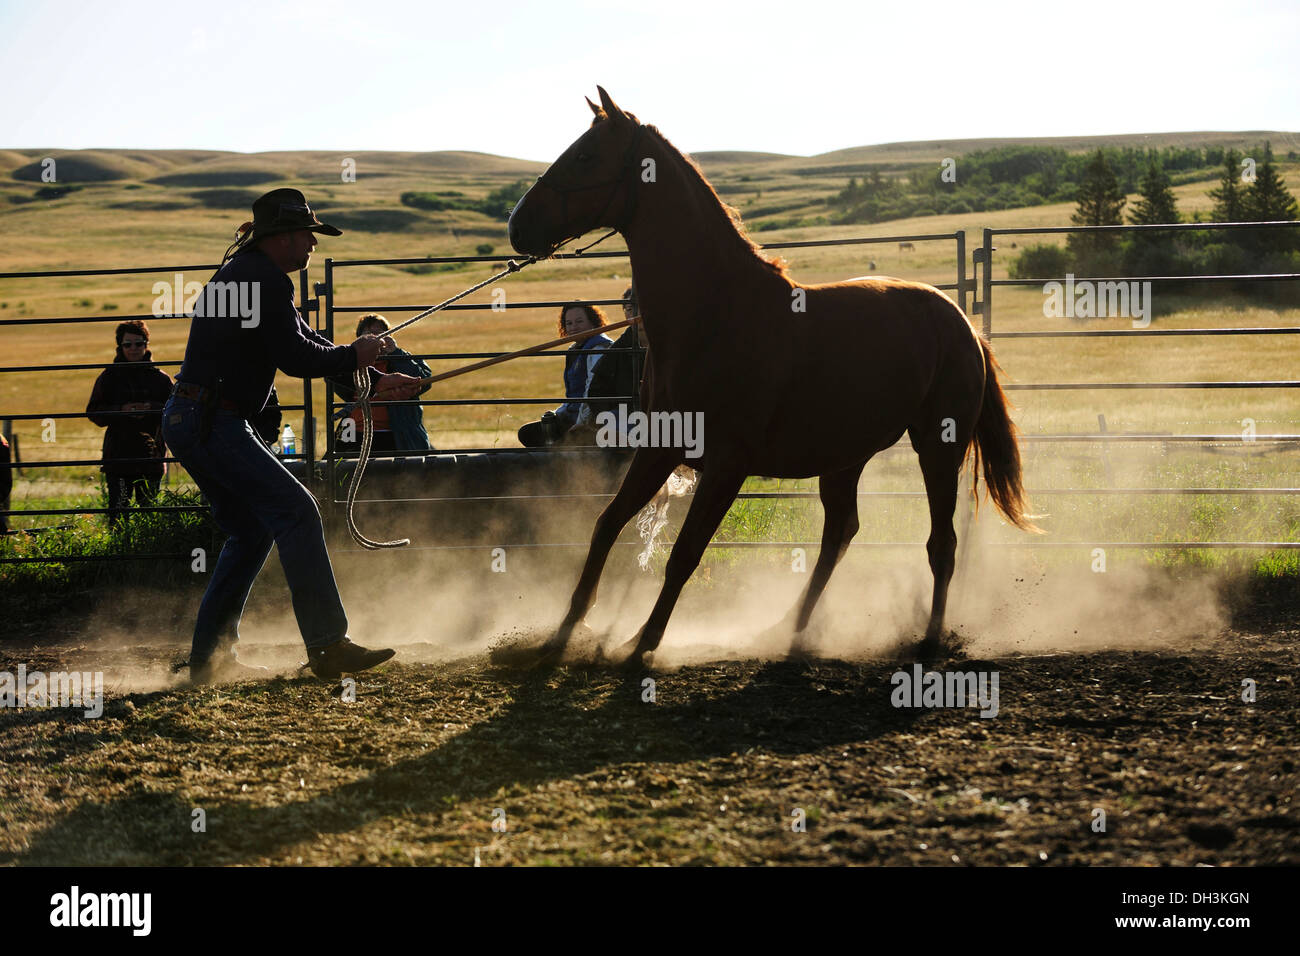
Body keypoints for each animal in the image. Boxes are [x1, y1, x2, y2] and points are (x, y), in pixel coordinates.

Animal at [507, 87, 1037, 668]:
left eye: (585, 156)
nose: (517, 226)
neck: (713, 315)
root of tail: (962, 323)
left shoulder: (727, 465)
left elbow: (684, 554)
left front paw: (641, 645)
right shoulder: (659, 450)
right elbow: (606, 526)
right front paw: (562, 633)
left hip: (938, 446)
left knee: (940, 544)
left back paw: (930, 638)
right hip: (844, 457)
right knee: (840, 533)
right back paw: (788, 629)